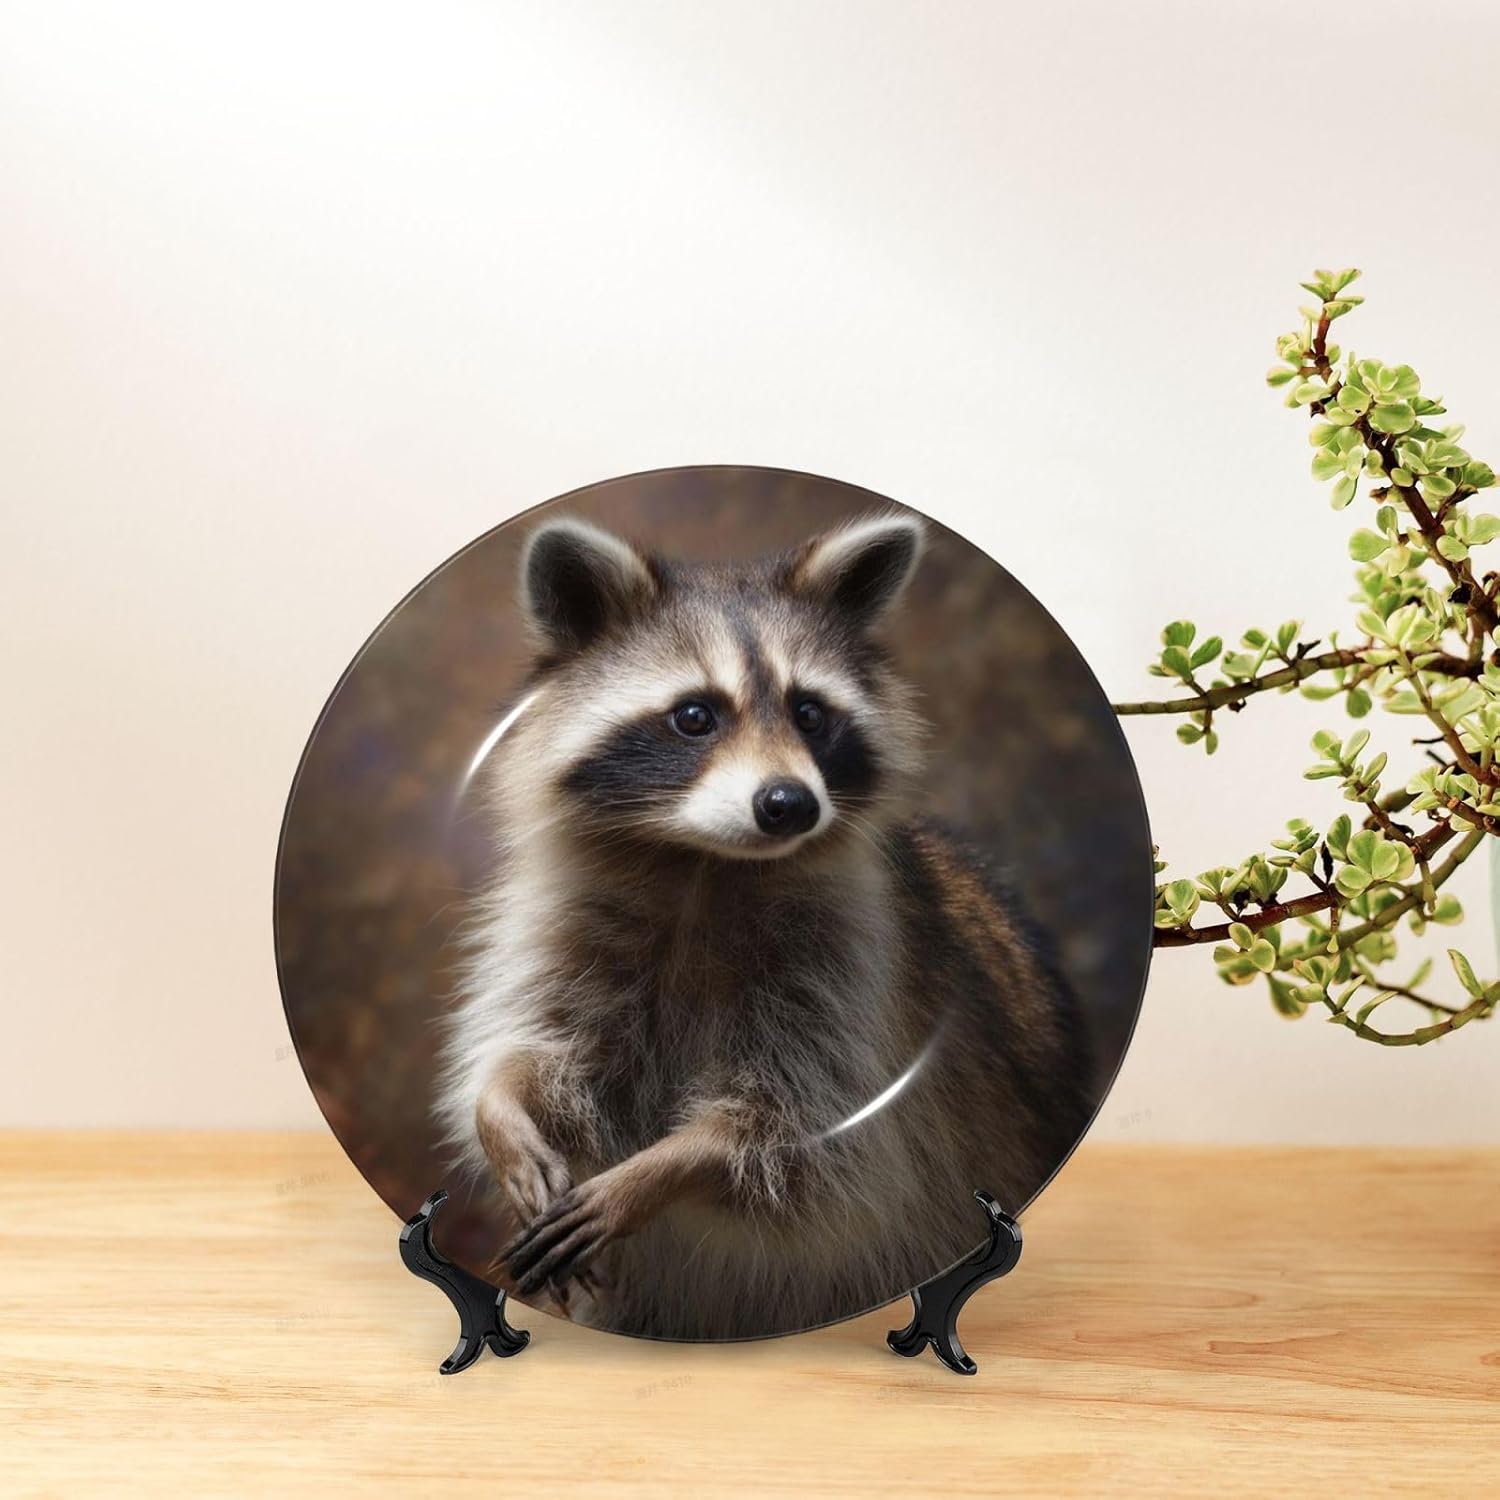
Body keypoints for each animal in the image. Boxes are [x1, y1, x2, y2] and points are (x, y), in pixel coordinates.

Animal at [435, 510, 1093, 1340]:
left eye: (809, 712)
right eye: (695, 715)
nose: (790, 804)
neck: (704, 866)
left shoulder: (851, 968)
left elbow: (804, 1137)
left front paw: (659, 1171)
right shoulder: (565, 929)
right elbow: (535, 1049)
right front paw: (501, 1109)